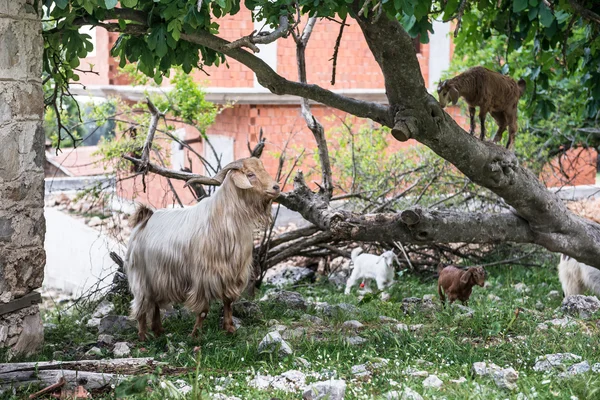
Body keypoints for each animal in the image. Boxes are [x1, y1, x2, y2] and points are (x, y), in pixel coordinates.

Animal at [123, 157, 282, 340]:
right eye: (250, 174)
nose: (276, 187)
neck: (224, 219)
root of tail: (144, 219)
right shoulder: (202, 278)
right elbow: (204, 310)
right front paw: (196, 335)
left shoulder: (231, 274)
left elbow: (228, 302)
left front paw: (229, 329)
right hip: (141, 277)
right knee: (141, 307)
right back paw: (143, 337)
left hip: (156, 279)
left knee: (154, 305)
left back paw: (158, 332)